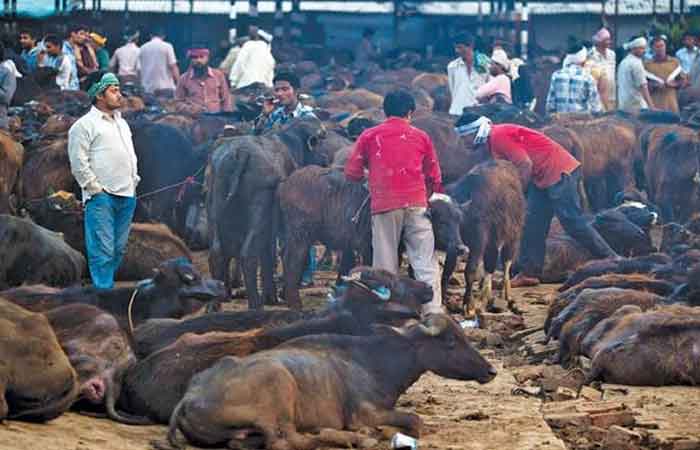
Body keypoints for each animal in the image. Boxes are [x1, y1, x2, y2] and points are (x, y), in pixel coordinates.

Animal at [163, 312, 494, 450]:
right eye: (451, 342)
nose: (490, 371)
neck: (376, 361)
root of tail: (190, 396)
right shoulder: (365, 413)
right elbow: (416, 420)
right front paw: (377, 432)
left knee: (243, 442)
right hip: (279, 388)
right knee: (285, 442)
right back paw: (355, 438)